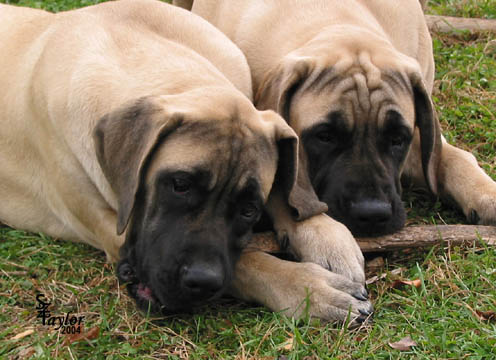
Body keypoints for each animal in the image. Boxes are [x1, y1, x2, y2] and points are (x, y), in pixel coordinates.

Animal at [0, 0, 370, 322]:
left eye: (250, 209)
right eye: (179, 185)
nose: (202, 281)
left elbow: (286, 185)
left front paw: (324, 235)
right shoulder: (108, 227)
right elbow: (246, 263)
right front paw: (307, 288)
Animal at [180, 0, 496, 236]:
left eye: (397, 139)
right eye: (325, 136)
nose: (372, 215)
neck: (336, 20)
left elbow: (450, 157)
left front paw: (486, 191)